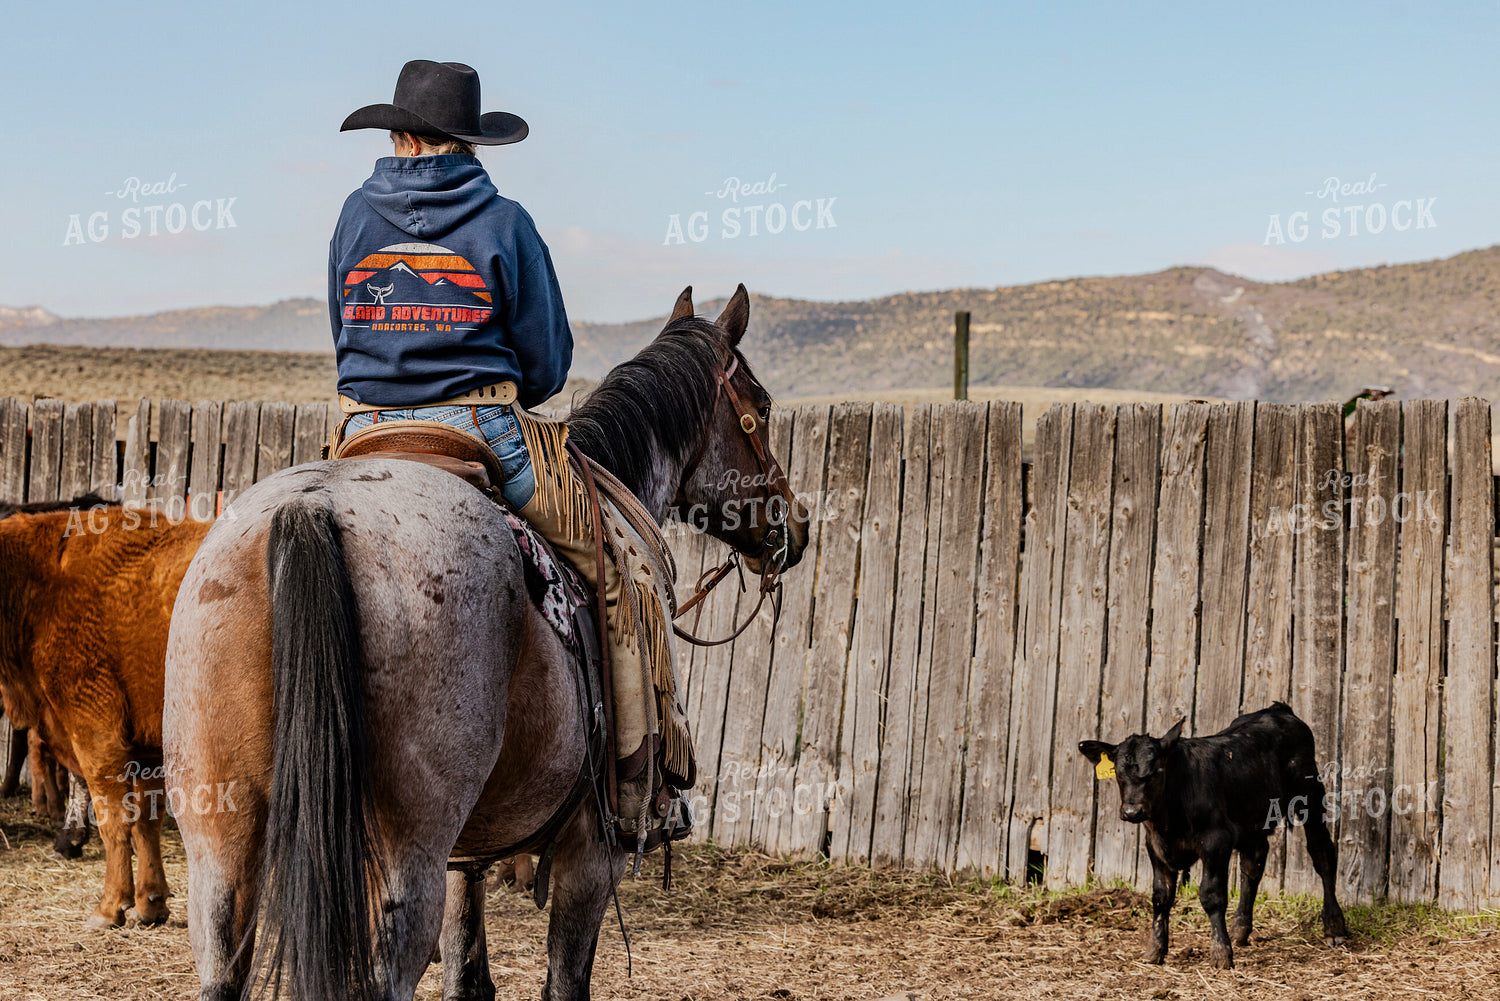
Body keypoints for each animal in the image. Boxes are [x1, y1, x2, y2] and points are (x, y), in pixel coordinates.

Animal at [1079, 702, 1349, 969]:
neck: (1169, 820)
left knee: (1322, 854)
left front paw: (1220, 952)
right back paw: (1240, 929)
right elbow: (1161, 896)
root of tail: (1278, 709)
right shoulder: (1154, 845)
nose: (1132, 811)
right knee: (1253, 865)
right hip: (1251, 817)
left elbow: (1211, 895)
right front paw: (1154, 950)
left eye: (1156, 771)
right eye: (1117, 772)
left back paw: (1334, 927)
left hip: (1310, 795)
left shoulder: (1216, 841)